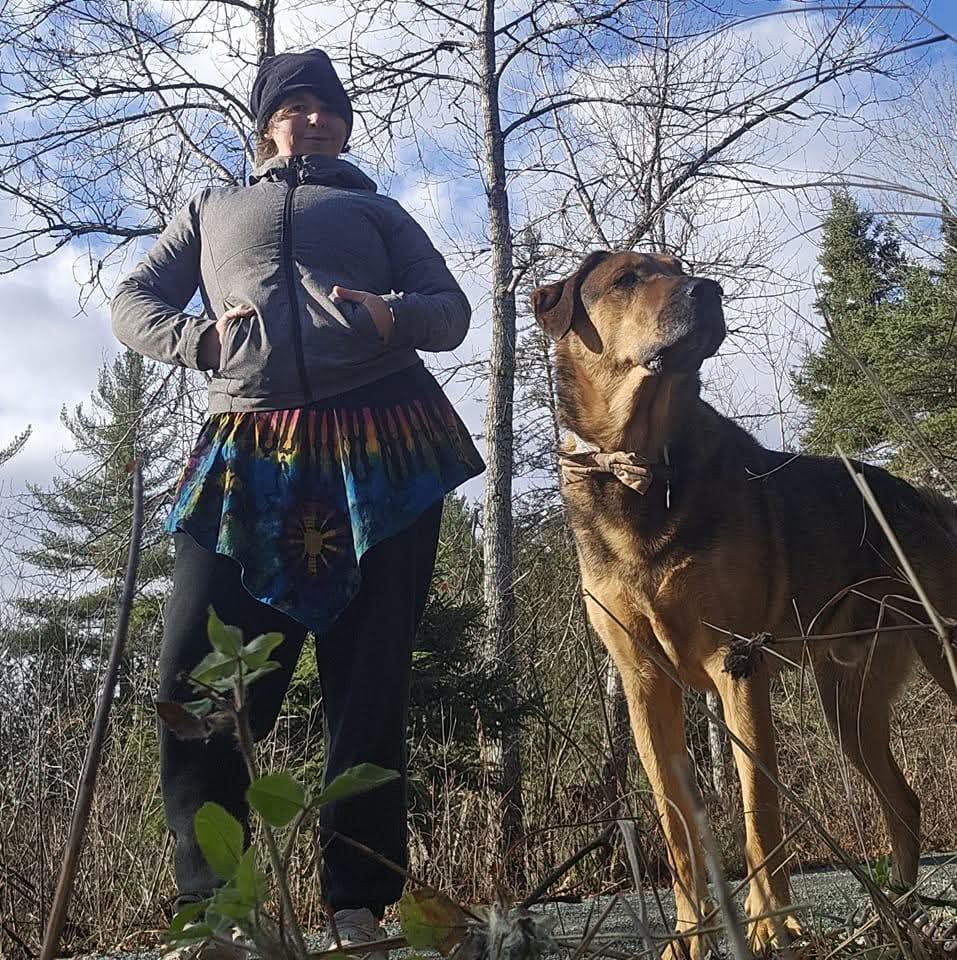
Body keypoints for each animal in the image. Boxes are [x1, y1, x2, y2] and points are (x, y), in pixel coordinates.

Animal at [531, 250, 957, 958]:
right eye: (626, 279)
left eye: (679, 265)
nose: (710, 290)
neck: (645, 465)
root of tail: (937, 502)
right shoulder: (645, 685)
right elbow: (677, 833)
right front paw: (688, 936)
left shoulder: (738, 664)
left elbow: (762, 813)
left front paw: (772, 926)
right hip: (851, 702)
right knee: (903, 802)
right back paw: (897, 915)